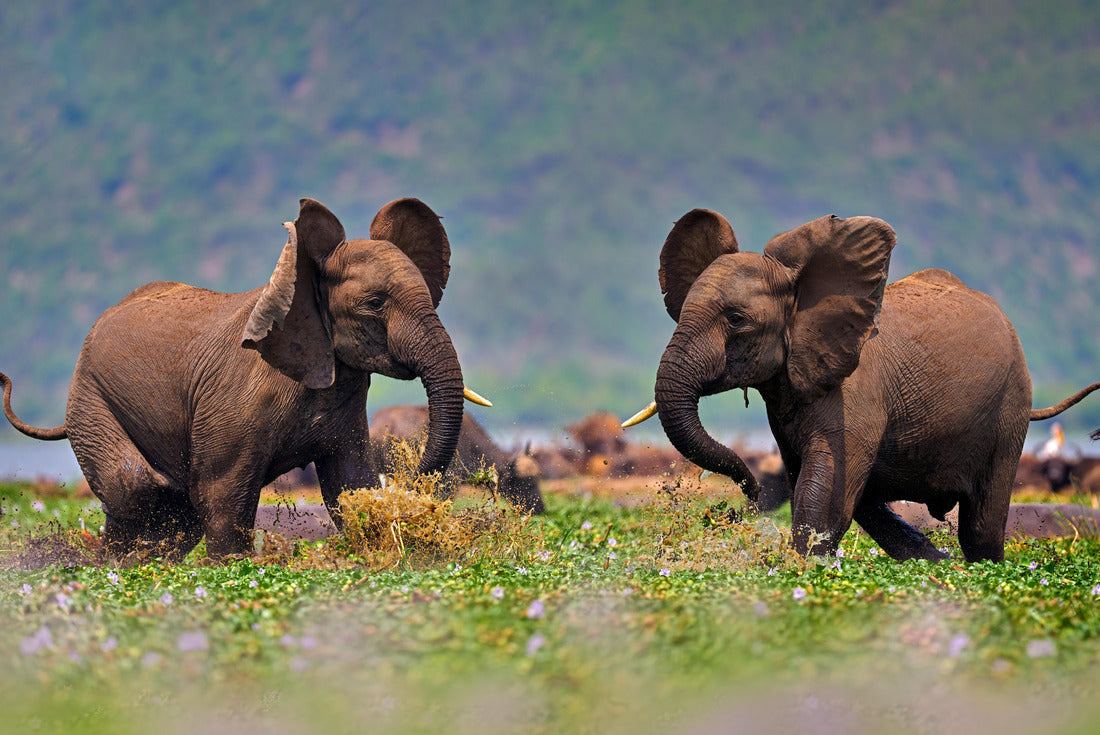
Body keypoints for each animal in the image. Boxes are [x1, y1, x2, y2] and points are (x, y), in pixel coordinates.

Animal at [1, 197, 491, 559]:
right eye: (374, 303)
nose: (411, 481)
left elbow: (349, 485)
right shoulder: (236, 401)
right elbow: (222, 492)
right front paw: (232, 564)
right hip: (89, 398)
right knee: (135, 484)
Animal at [624, 209, 1100, 562]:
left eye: (736, 319)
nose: (746, 493)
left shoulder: (854, 394)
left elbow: (823, 495)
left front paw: (801, 566)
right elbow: (814, 483)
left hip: (1010, 406)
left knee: (980, 526)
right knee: (875, 505)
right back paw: (936, 564)